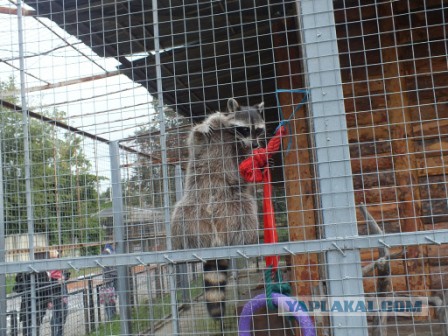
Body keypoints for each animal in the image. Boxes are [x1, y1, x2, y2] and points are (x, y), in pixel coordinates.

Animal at [171, 98, 262, 320]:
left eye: (259, 131)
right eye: (245, 129)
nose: (256, 145)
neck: (232, 136)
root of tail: (216, 238)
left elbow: (244, 168)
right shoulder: (212, 132)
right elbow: (195, 140)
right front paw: (202, 128)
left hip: (236, 206)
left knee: (247, 209)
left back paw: (246, 240)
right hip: (192, 208)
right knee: (180, 213)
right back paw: (182, 244)